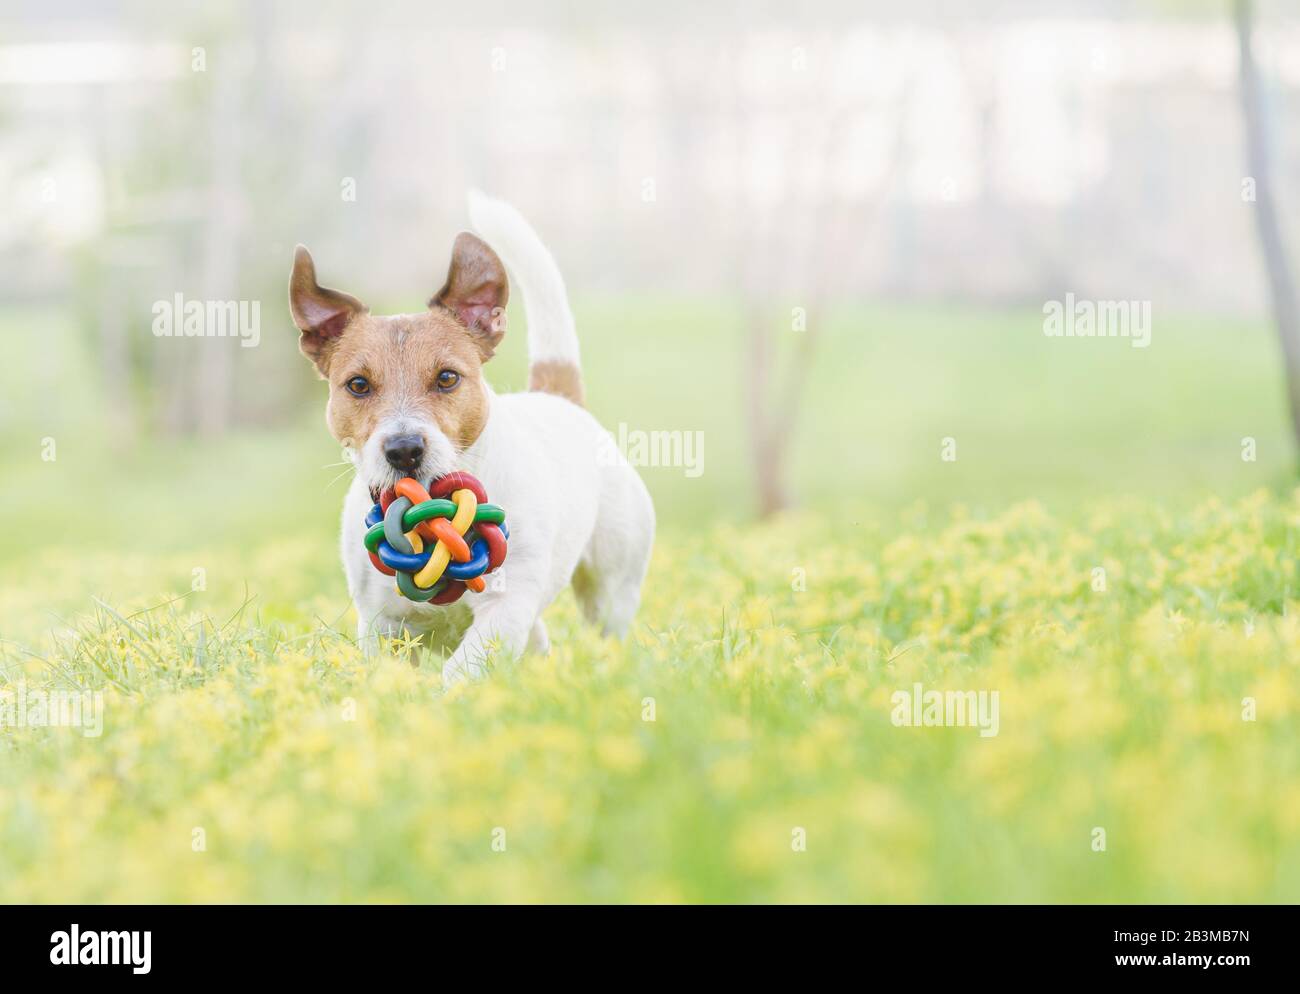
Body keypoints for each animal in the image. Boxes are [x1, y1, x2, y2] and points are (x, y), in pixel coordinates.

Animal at [289, 189, 655, 680]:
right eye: (358, 385)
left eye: (447, 378)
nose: (404, 450)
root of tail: (559, 399)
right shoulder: (381, 624)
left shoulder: (506, 607)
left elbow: (462, 672)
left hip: (612, 587)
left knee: (608, 624)